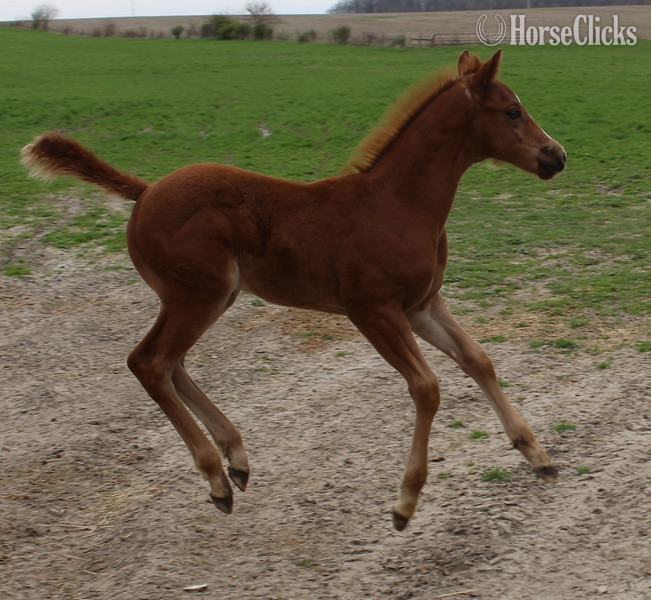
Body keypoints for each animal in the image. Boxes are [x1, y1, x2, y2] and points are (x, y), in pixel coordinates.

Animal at [22, 49, 566, 531]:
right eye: (512, 110)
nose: (556, 155)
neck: (398, 204)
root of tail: (146, 190)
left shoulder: (421, 305)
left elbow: (478, 359)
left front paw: (537, 454)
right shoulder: (373, 310)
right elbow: (427, 388)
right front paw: (405, 503)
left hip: (208, 297)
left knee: (171, 363)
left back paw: (236, 457)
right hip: (198, 295)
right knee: (149, 362)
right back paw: (216, 477)